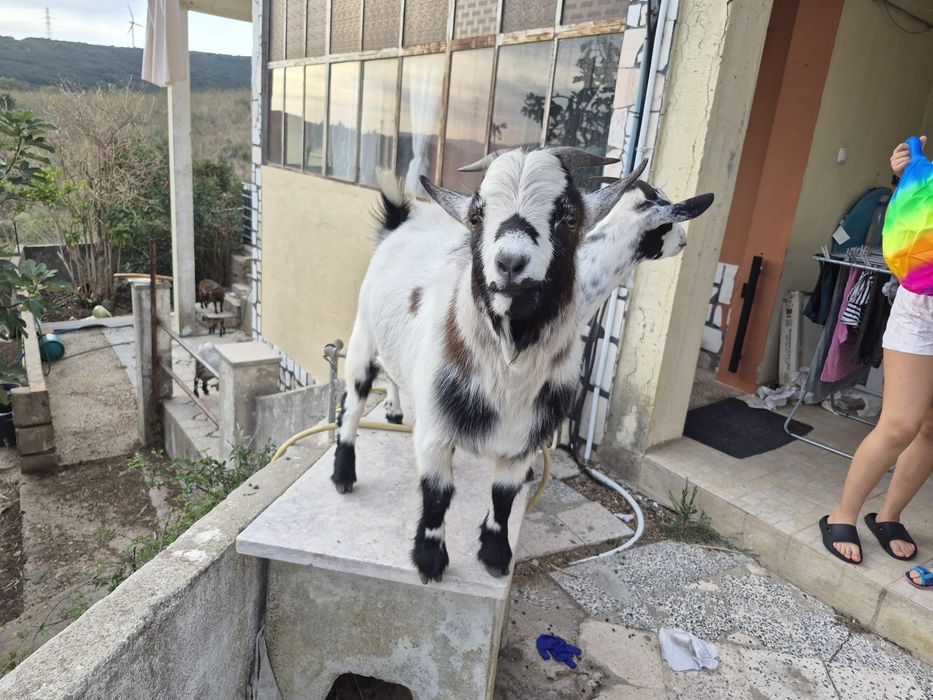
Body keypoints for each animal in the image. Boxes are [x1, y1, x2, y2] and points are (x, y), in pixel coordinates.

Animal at [333, 148, 714, 584]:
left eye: (569, 217)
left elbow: (504, 495)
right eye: (477, 215)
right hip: (363, 334)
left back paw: (394, 411)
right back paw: (343, 473)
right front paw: (429, 560)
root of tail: (400, 223)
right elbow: (437, 495)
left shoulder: (528, 428)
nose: (511, 263)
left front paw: (496, 553)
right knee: (353, 401)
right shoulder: (436, 428)